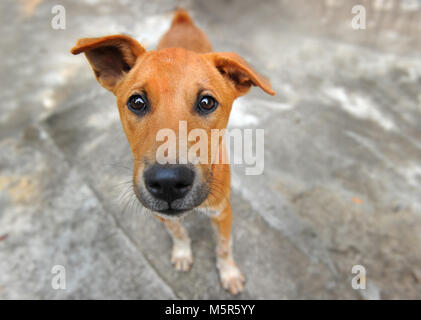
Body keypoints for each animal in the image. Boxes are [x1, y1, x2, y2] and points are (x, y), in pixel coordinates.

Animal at [70, 8, 274, 296]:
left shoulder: (223, 211)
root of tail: (182, 19)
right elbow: (179, 233)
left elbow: (224, 247)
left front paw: (229, 273)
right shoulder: (159, 212)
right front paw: (182, 253)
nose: (167, 182)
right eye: (137, 102)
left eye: (207, 102)